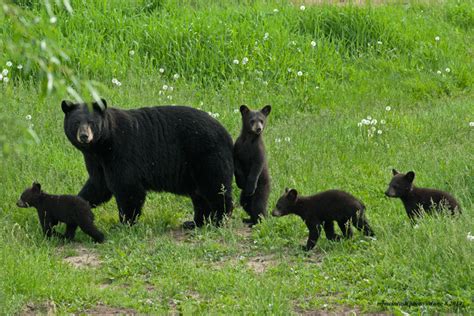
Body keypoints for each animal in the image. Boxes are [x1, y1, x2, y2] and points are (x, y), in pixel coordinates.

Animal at [61, 97, 235, 228]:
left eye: (91, 122)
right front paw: (74, 208)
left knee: (215, 188)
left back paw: (218, 220)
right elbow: (98, 186)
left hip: (207, 155)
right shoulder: (96, 161)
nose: (84, 136)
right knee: (199, 195)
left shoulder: (122, 152)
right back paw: (195, 223)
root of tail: (227, 135)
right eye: (76, 123)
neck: (102, 145)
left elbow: (127, 187)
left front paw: (124, 223)